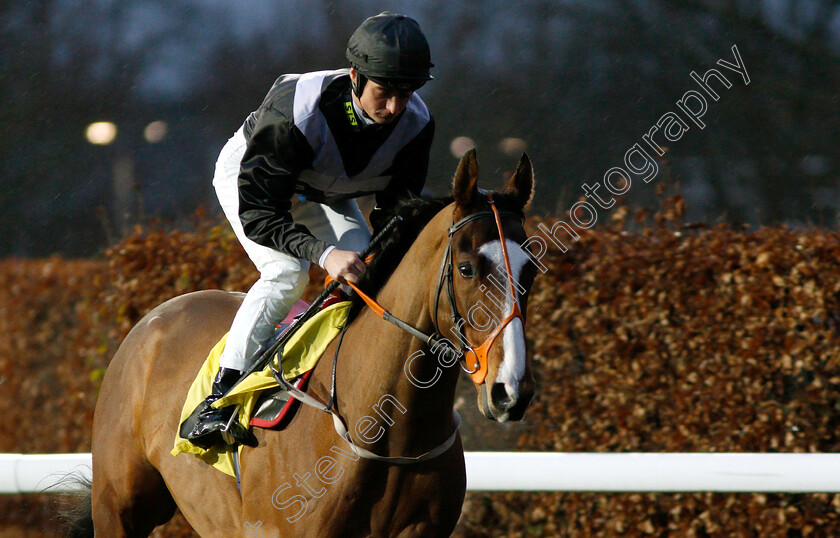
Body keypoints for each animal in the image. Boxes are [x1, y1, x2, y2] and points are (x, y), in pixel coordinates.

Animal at [72, 149, 536, 532]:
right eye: (466, 268)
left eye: (531, 268)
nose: (510, 391)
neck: (384, 427)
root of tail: (150, 321)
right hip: (117, 507)